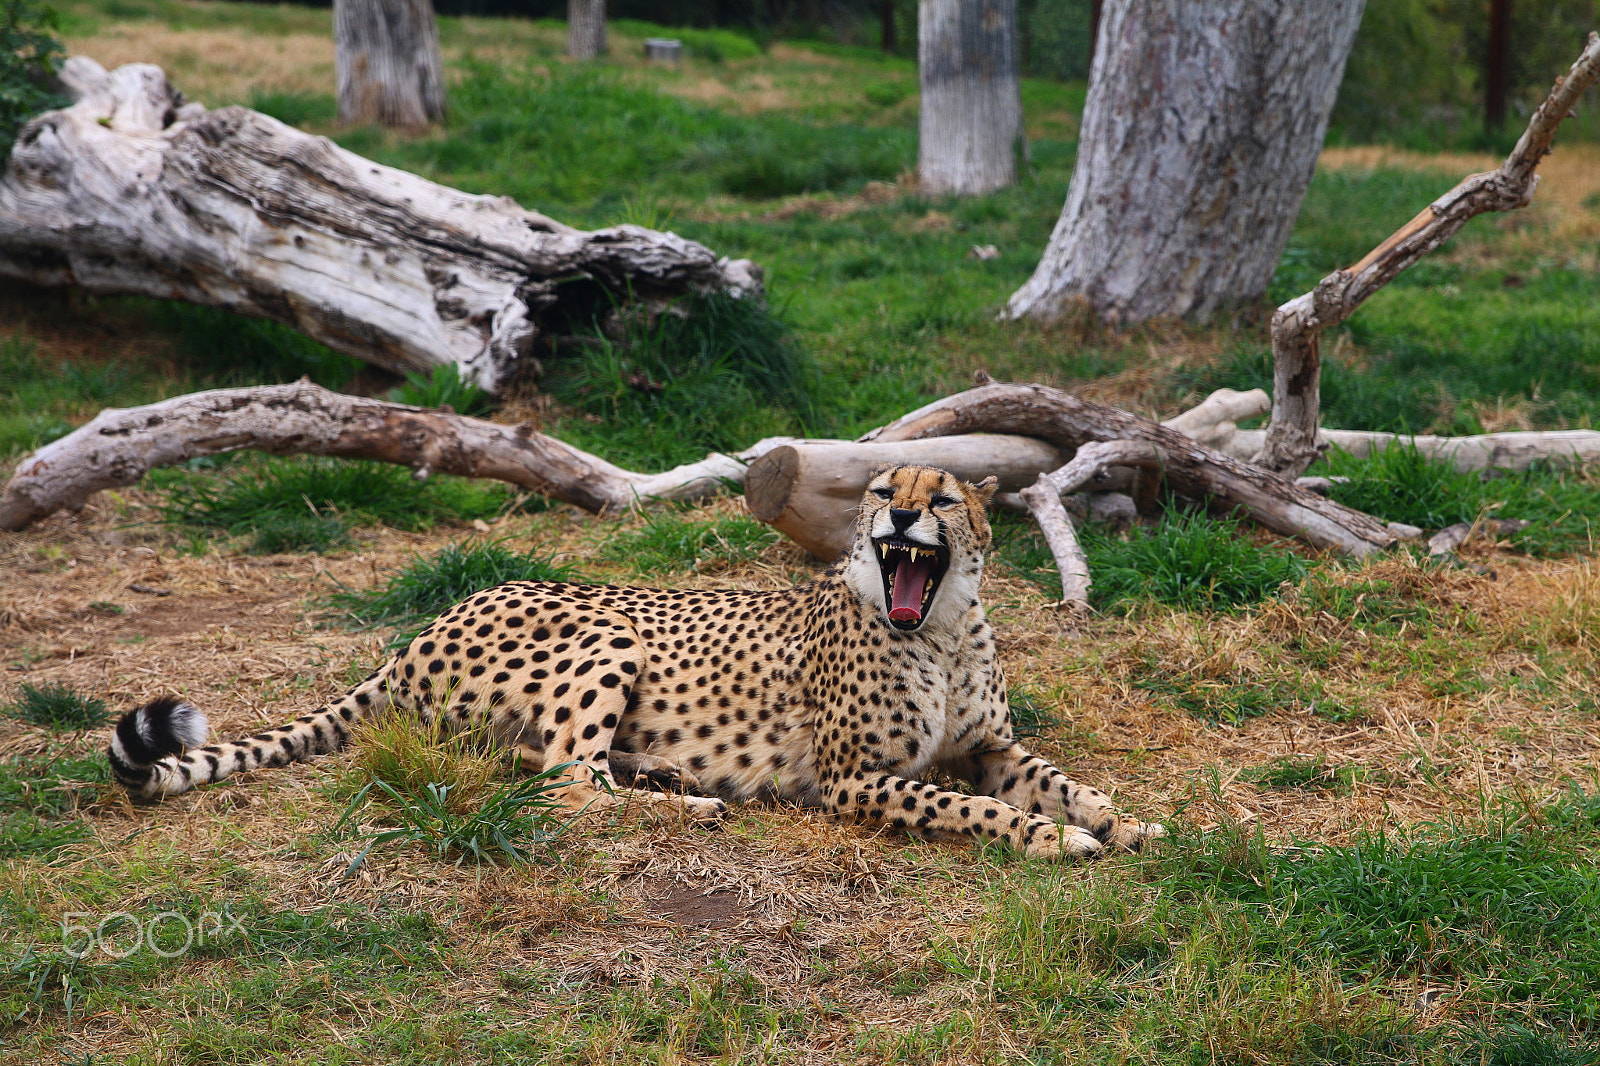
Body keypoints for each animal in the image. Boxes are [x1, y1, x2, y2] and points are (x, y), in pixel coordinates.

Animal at [108, 464, 1161, 858]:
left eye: (941, 498)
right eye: (880, 490)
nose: (900, 517)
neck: (932, 629)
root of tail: (427, 625)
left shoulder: (989, 747)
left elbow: (1064, 782)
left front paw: (1135, 823)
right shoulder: (855, 780)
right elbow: (969, 807)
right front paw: (1054, 840)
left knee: (558, 770)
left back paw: (671, 779)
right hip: (606, 635)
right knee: (563, 782)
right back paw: (691, 805)